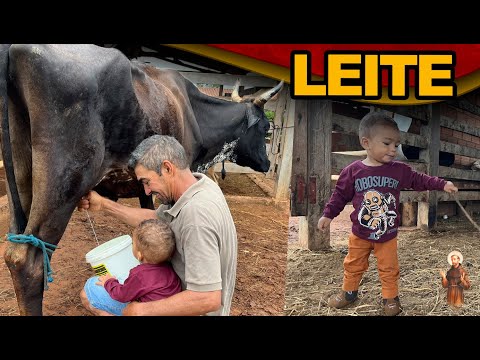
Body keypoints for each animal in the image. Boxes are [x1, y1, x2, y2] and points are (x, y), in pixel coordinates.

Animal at [0, 44, 284, 316]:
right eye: (265, 128)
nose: (268, 163)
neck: (193, 111)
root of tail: (16, 49)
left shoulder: (145, 187)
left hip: (23, 184)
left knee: (13, 253)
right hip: (64, 183)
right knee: (29, 263)